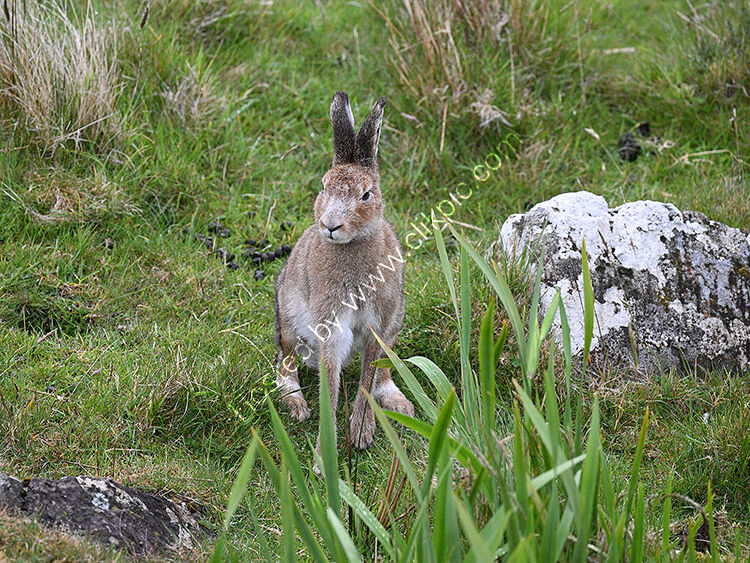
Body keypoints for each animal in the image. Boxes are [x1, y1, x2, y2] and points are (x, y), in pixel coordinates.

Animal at [274, 91, 414, 461]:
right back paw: (297, 406)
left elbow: (366, 380)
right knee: (285, 362)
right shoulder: (330, 328)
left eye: (366, 195)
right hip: (290, 322)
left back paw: (400, 404)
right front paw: (325, 457)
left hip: (396, 324)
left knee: (382, 373)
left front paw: (361, 432)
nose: (330, 225)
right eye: (323, 187)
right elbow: (332, 389)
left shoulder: (380, 326)